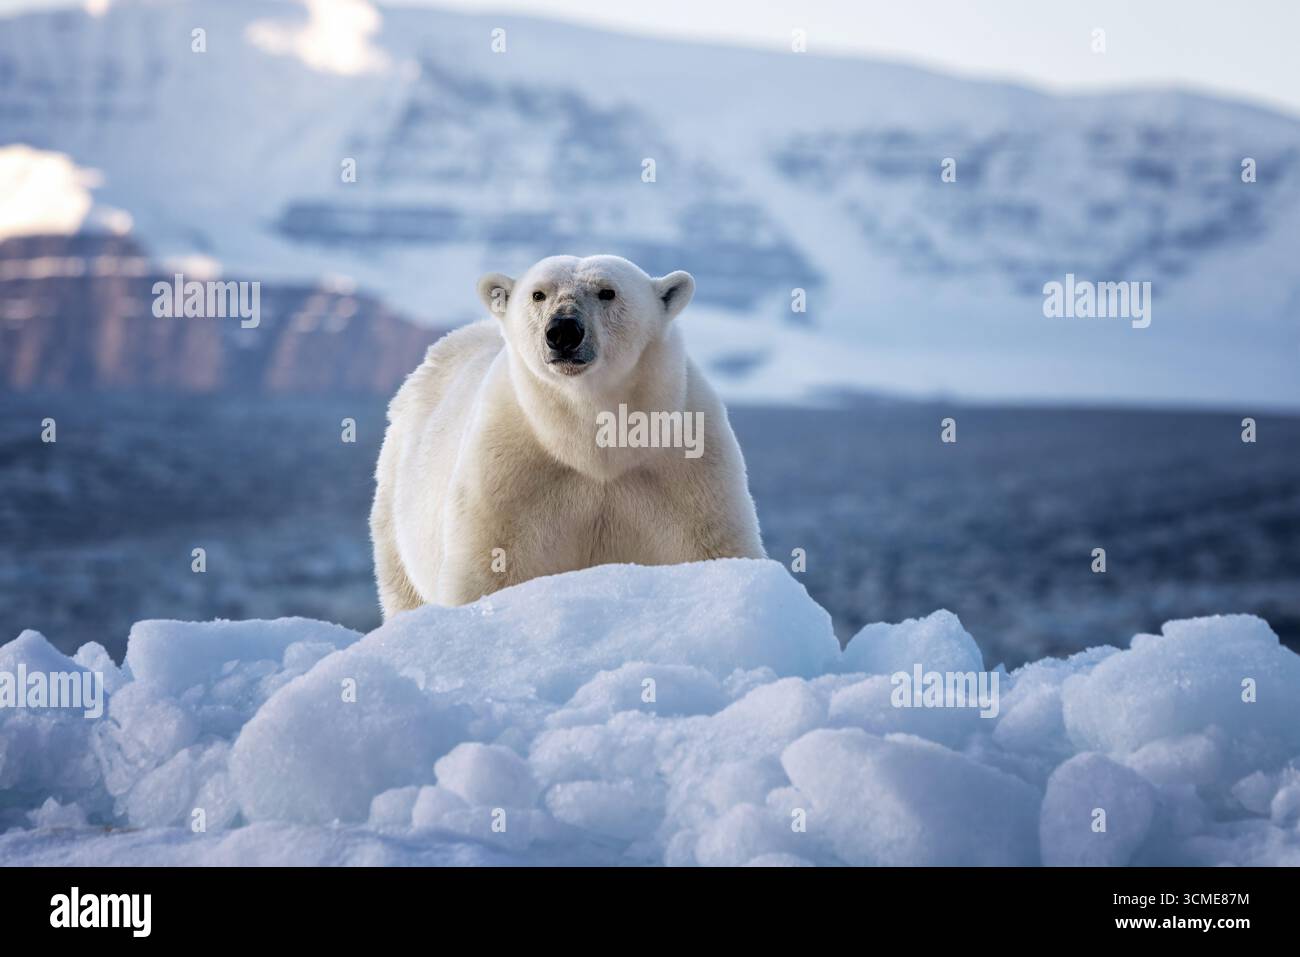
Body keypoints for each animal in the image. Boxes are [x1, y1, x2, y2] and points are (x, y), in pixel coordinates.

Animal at [369, 254, 766, 617]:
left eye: (607, 291)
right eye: (538, 294)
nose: (563, 331)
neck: (591, 443)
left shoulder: (685, 465)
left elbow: (711, 546)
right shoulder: (509, 474)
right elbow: (492, 568)